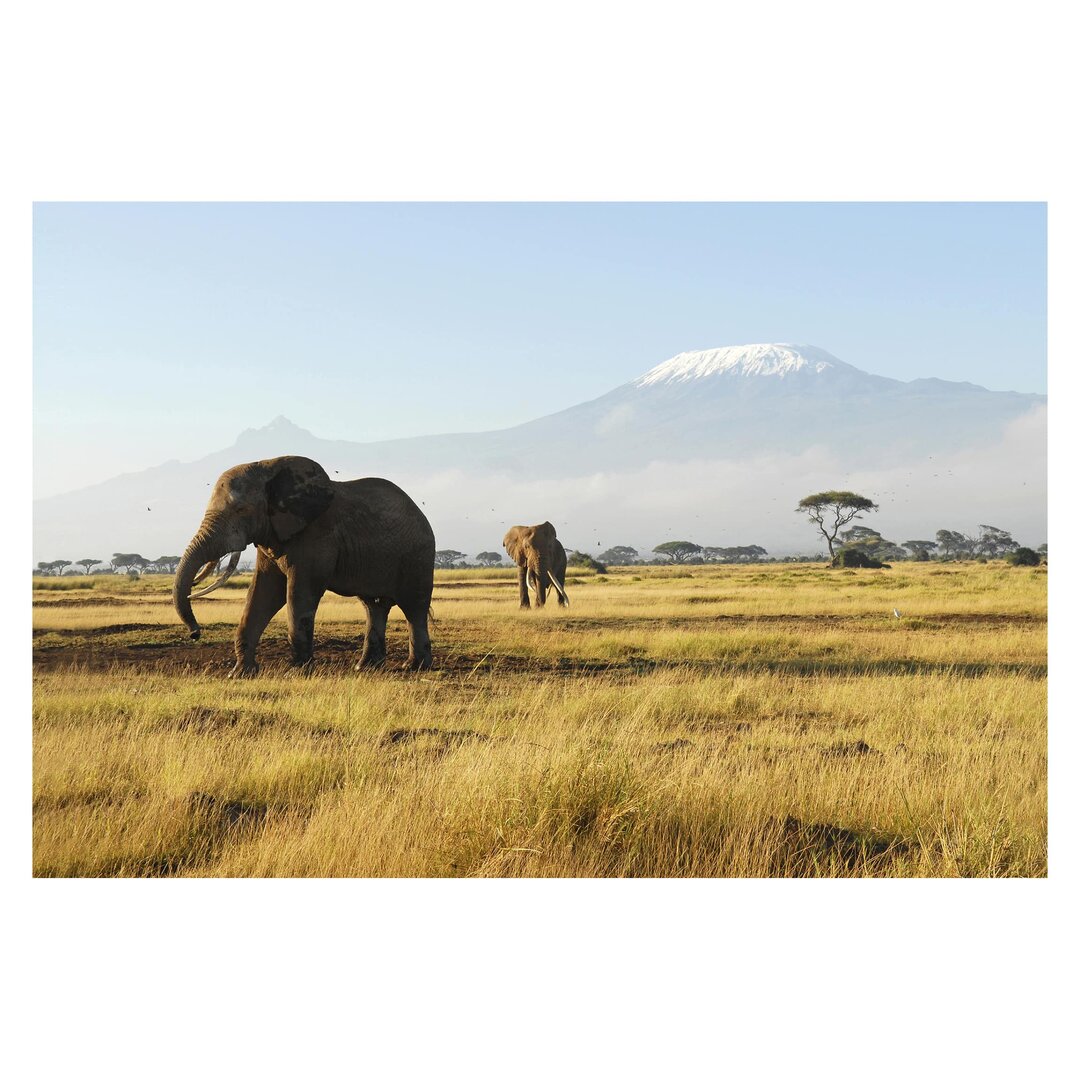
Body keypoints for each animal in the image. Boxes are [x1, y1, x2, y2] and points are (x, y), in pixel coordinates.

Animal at [172, 455, 434, 673]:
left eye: (241, 509)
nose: (195, 633)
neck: (267, 466)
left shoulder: (315, 535)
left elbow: (299, 594)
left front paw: (298, 671)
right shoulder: (272, 535)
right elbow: (262, 594)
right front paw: (240, 673)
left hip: (418, 556)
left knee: (414, 608)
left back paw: (415, 667)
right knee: (374, 606)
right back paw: (365, 668)